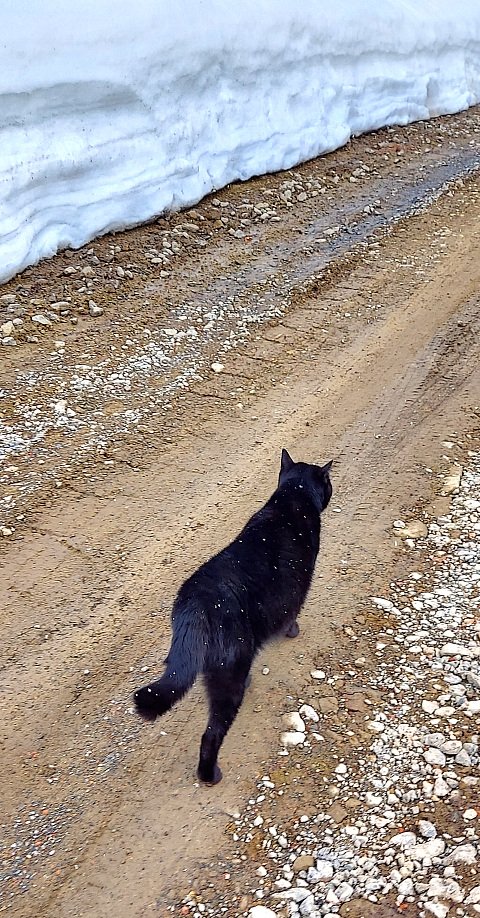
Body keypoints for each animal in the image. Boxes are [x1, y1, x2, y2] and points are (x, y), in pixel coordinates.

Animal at [133, 450, 332, 788]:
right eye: (329, 483)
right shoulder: (298, 588)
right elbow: (292, 614)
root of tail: (195, 602)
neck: (290, 500)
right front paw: (292, 631)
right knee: (211, 735)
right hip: (229, 673)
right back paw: (209, 775)